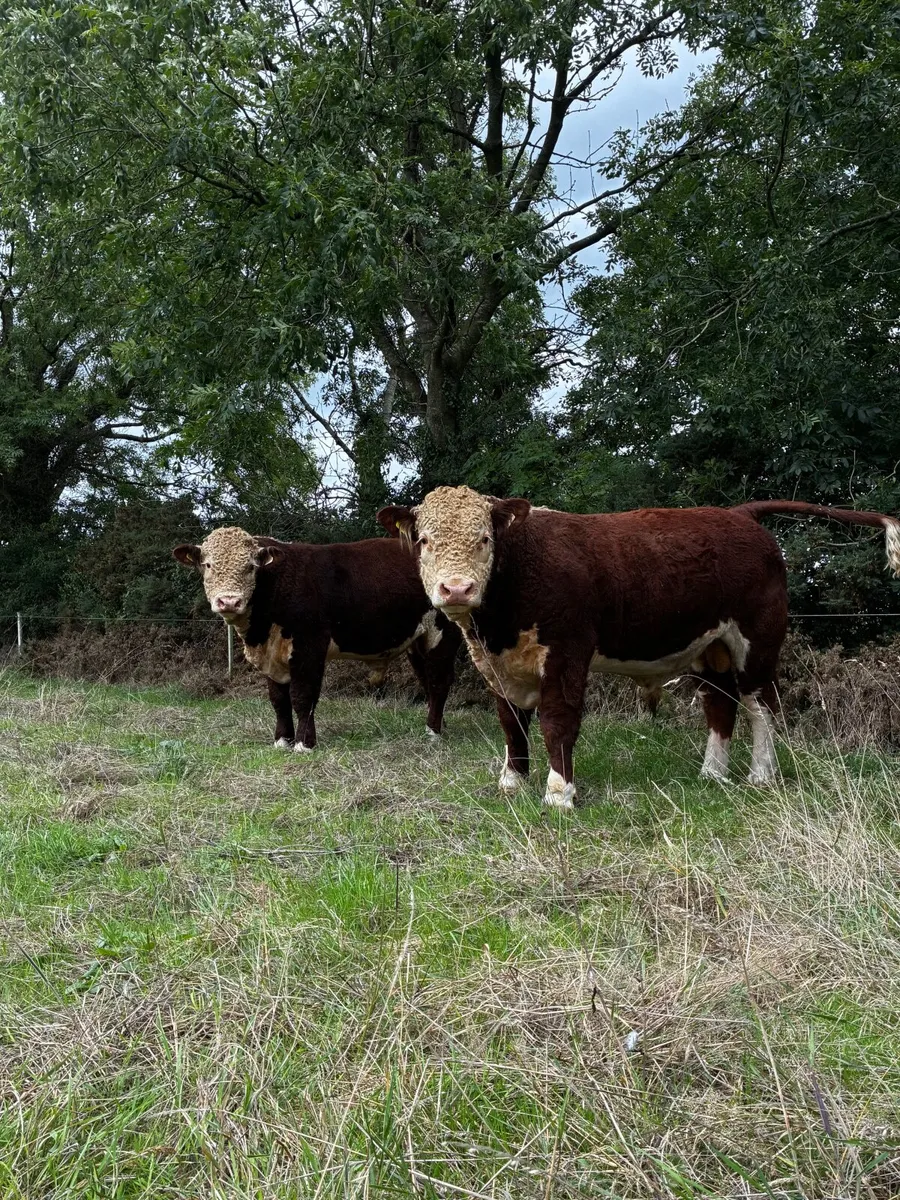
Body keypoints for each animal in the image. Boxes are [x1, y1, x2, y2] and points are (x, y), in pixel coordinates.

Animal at [173, 527, 461, 751]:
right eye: (208, 565)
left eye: (250, 567)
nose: (229, 601)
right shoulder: (272, 657)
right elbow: (279, 700)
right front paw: (282, 740)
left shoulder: (309, 646)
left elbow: (303, 696)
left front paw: (304, 743)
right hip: (417, 641)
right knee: (428, 680)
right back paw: (440, 725)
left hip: (443, 632)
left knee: (439, 681)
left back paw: (434, 732)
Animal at [378, 489, 900, 808]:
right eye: (424, 540)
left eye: (484, 538)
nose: (457, 589)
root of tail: (737, 514)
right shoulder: (495, 665)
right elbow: (511, 723)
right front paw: (511, 781)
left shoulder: (568, 650)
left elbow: (557, 721)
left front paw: (559, 793)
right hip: (710, 647)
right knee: (720, 705)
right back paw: (712, 774)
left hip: (758, 641)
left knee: (761, 704)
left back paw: (761, 775)